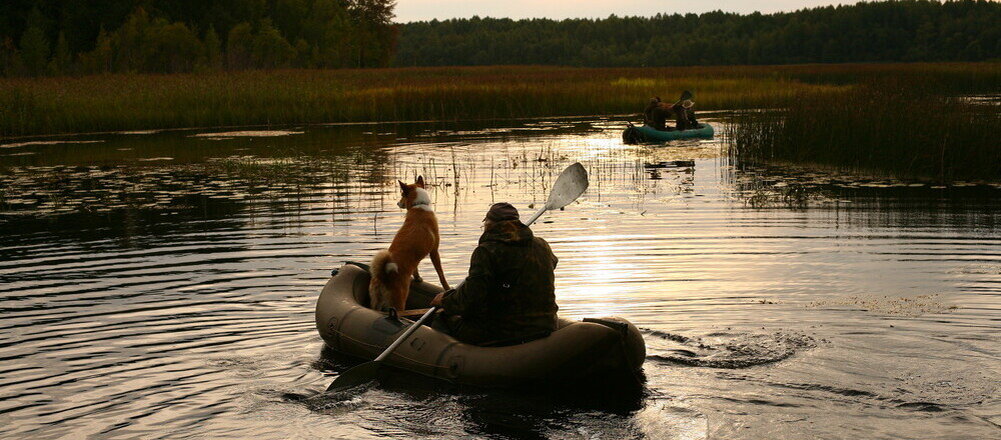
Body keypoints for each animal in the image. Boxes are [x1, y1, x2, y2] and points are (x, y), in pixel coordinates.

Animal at [368, 175, 450, 312]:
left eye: (402, 195)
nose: (397, 203)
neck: (419, 206)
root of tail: (383, 276)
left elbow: (416, 268)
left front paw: (417, 278)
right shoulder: (434, 251)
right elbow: (441, 274)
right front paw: (448, 289)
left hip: (376, 302)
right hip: (399, 301)